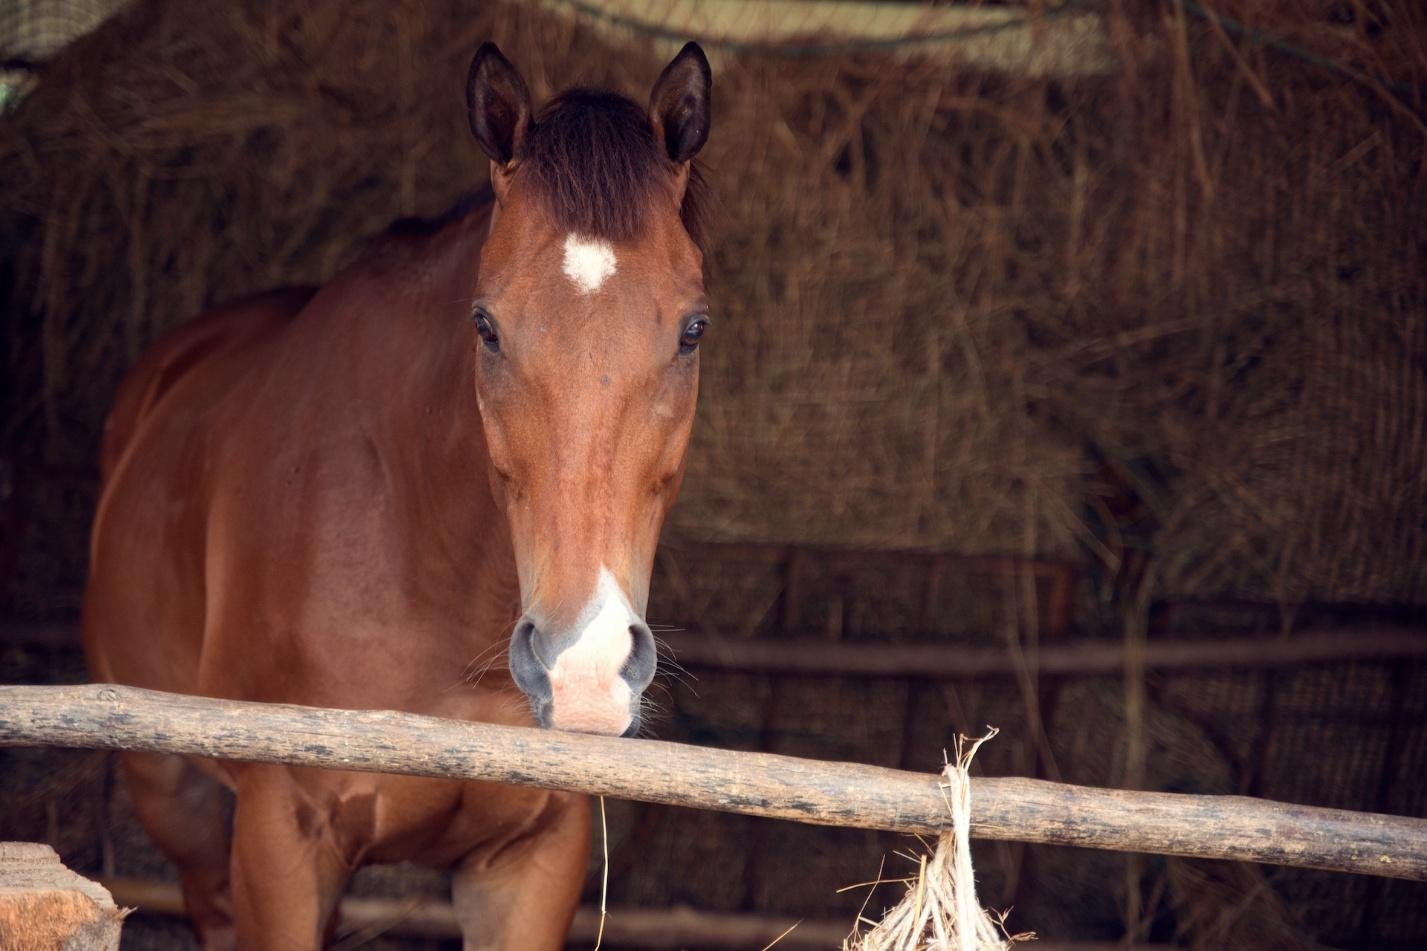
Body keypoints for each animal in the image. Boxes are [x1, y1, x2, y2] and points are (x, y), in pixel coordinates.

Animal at [82, 40, 713, 949]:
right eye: (485, 325)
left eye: (693, 329)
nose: (583, 665)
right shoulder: (280, 836)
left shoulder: (531, 859)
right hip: (175, 795)